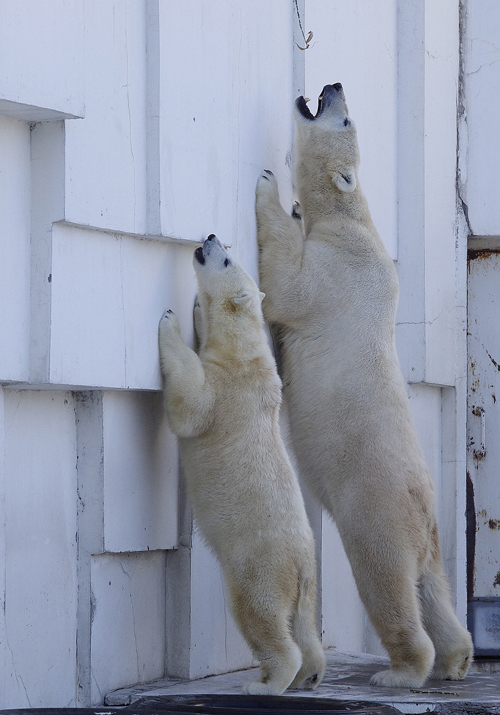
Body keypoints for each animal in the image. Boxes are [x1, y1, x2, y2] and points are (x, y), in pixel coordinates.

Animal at [158, 236, 326, 700]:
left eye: (227, 259)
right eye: (227, 247)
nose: (211, 237)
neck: (244, 350)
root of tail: (303, 565)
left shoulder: (226, 389)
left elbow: (190, 406)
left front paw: (169, 321)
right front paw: (196, 310)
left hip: (259, 567)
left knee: (261, 617)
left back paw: (266, 683)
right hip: (303, 587)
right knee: (303, 626)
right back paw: (311, 674)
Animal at [254, 85, 472, 692]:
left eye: (344, 119)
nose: (331, 86)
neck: (356, 220)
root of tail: (423, 516)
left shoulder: (335, 268)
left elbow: (285, 285)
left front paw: (270, 189)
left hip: (376, 512)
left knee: (387, 583)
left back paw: (400, 671)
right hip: (430, 539)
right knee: (434, 591)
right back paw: (456, 658)